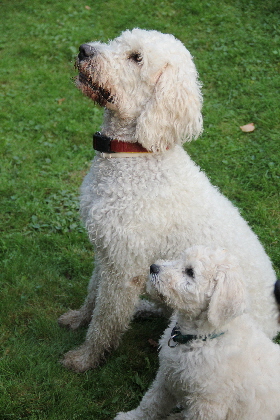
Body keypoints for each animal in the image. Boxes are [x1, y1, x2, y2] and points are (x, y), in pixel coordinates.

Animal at [58, 28, 278, 370]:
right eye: (118, 41)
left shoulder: (124, 266)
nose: (84, 50)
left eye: (136, 57)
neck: (136, 154)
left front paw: (86, 358)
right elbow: (93, 295)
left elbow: (106, 318)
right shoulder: (106, 251)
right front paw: (78, 319)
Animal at [113, 246, 280, 420]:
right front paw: (130, 417)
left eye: (190, 272)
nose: (153, 267)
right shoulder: (166, 377)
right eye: (180, 258)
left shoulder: (206, 405)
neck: (199, 338)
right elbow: (151, 403)